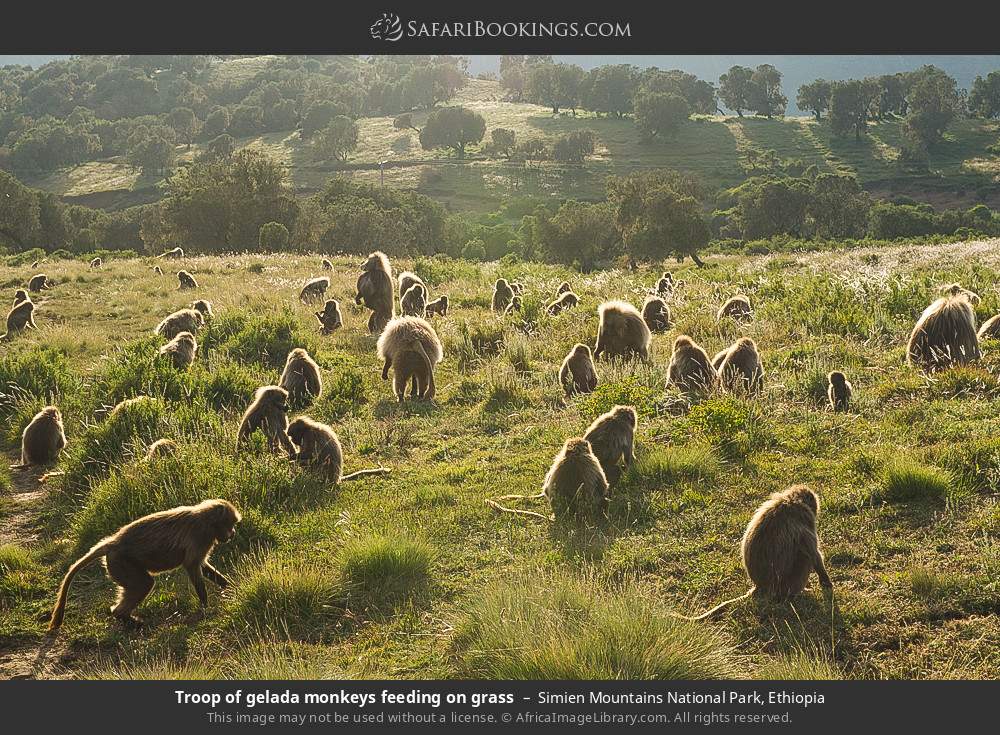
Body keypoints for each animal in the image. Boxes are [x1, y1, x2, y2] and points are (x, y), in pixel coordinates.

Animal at [48, 498, 240, 630]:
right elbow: (192, 565)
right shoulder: (201, 535)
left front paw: (229, 587)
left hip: (117, 565)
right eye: (230, 524)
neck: (206, 519)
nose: (232, 534)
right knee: (143, 584)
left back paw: (127, 620)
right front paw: (205, 605)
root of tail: (113, 543)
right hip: (121, 563)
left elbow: (202, 566)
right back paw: (129, 620)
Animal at [678, 485, 832, 620]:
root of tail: (761, 586)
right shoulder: (806, 518)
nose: (816, 510)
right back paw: (797, 595)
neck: (790, 500)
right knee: (805, 557)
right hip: (790, 582)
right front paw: (826, 583)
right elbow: (815, 555)